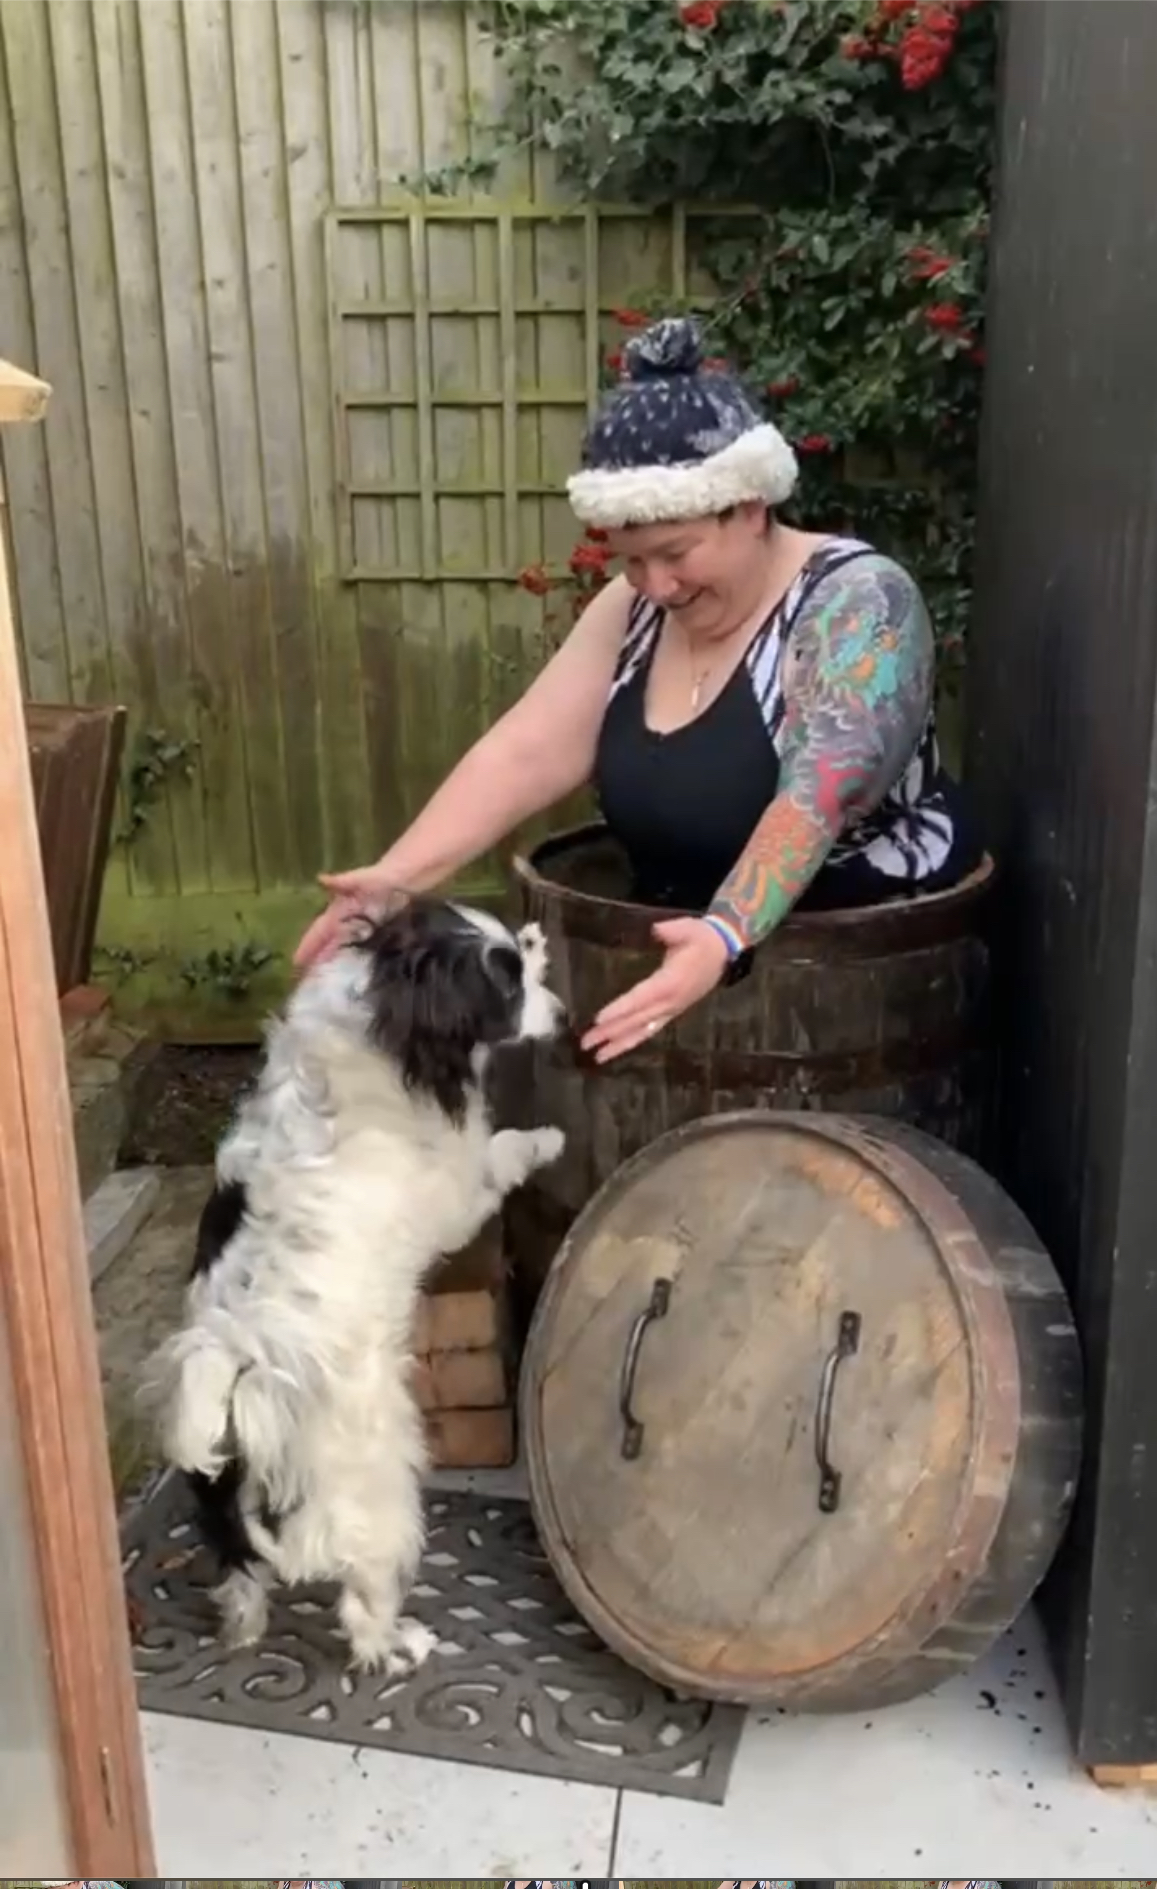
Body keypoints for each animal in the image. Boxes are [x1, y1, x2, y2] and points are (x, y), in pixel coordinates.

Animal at [142, 906, 567, 1677]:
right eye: (504, 988)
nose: (565, 1016)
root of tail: (239, 1367)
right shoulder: (457, 1193)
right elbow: (501, 1152)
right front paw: (544, 1138)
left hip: (218, 1497)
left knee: (241, 1572)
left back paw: (244, 1629)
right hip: (379, 1493)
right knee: (362, 1606)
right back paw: (398, 1646)